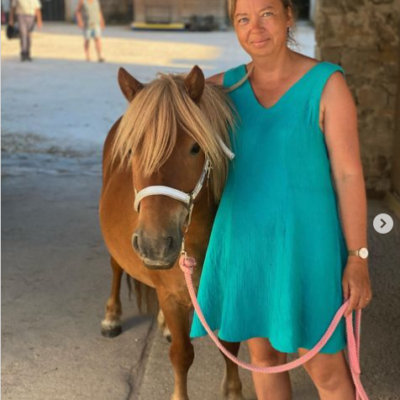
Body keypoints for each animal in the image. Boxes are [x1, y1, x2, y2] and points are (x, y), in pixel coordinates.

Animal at [98, 66, 245, 400]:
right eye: (131, 150)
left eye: (195, 147)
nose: (154, 245)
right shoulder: (171, 296)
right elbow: (182, 354)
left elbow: (230, 346)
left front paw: (233, 391)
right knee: (114, 268)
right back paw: (112, 316)